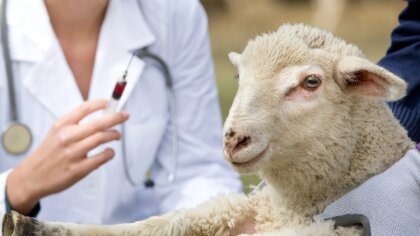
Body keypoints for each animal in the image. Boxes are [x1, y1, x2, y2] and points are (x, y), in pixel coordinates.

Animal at [2, 24, 414, 236]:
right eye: (239, 77)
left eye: (311, 82)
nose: (233, 139)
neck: (289, 209)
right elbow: (160, 224)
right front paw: (33, 225)